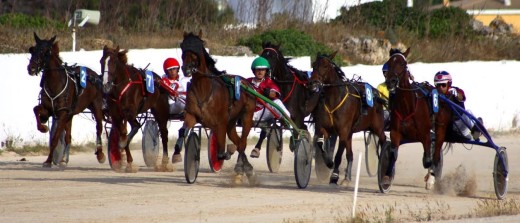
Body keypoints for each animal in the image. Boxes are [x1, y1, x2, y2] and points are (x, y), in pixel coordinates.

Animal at [26, 32, 105, 166]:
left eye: (45, 51)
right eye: (33, 50)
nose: (31, 68)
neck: (55, 83)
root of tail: (95, 75)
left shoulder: (62, 112)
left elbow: (55, 138)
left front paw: (48, 160)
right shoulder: (49, 109)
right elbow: (36, 109)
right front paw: (43, 127)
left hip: (97, 107)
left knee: (99, 128)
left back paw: (100, 154)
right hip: (71, 113)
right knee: (68, 136)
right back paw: (63, 159)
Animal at [101, 44, 173, 172]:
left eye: (113, 62)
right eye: (101, 61)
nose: (106, 86)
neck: (121, 87)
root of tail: (160, 81)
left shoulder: (130, 113)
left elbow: (133, 130)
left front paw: (122, 147)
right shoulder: (116, 115)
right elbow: (123, 133)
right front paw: (128, 162)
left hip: (160, 112)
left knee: (164, 133)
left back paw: (164, 162)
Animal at [181, 30, 258, 185]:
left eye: (196, 50)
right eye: (184, 48)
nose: (186, 69)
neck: (204, 90)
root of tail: (247, 82)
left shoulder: (220, 122)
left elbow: (221, 153)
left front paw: (227, 152)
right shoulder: (192, 116)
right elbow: (185, 131)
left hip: (247, 116)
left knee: (242, 143)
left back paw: (244, 168)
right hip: (231, 122)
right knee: (238, 142)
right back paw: (245, 169)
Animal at [306, 52, 388, 185]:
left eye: (325, 66)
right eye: (313, 65)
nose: (312, 83)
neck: (333, 100)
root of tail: (376, 94)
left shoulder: (343, 131)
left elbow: (338, 155)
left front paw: (334, 176)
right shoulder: (325, 128)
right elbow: (321, 143)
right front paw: (329, 163)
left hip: (377, 127)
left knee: (384, 140)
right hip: (351, 132)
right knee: (350, 154)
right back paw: (346, 178)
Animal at [380, 47, 440, 190]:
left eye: (403, 64)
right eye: (389, 63)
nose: (391, 81)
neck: (407, 106)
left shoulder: (425, 134)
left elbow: (428, 160)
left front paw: (430, 178)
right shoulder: (395, 133)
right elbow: (393, 154)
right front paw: (386, 177)